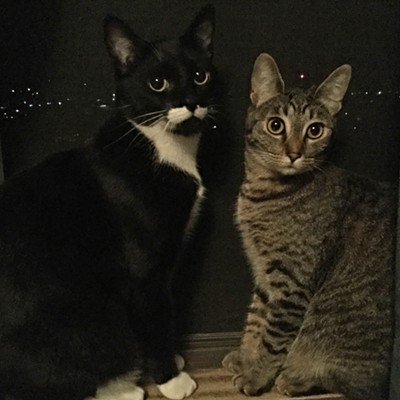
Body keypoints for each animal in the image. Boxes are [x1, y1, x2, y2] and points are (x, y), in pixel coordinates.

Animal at [0, 5, 217, 400]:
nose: (191, 102)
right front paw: (170, 378)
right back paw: (123, 388)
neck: (161, 146)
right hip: (94, 315)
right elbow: (155, 318)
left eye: (200, 74)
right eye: (157, 83)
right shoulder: (145, 272)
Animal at [222, 54, 396, 400]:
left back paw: (296, 379)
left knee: (348, 379)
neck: (264, 193)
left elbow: (272, 338)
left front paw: (256, 376)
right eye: (276, 125)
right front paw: (247, 358)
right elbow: (255, 320)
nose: (294, 153)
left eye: (315, 130)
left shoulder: (292, 281)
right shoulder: (265, 275)